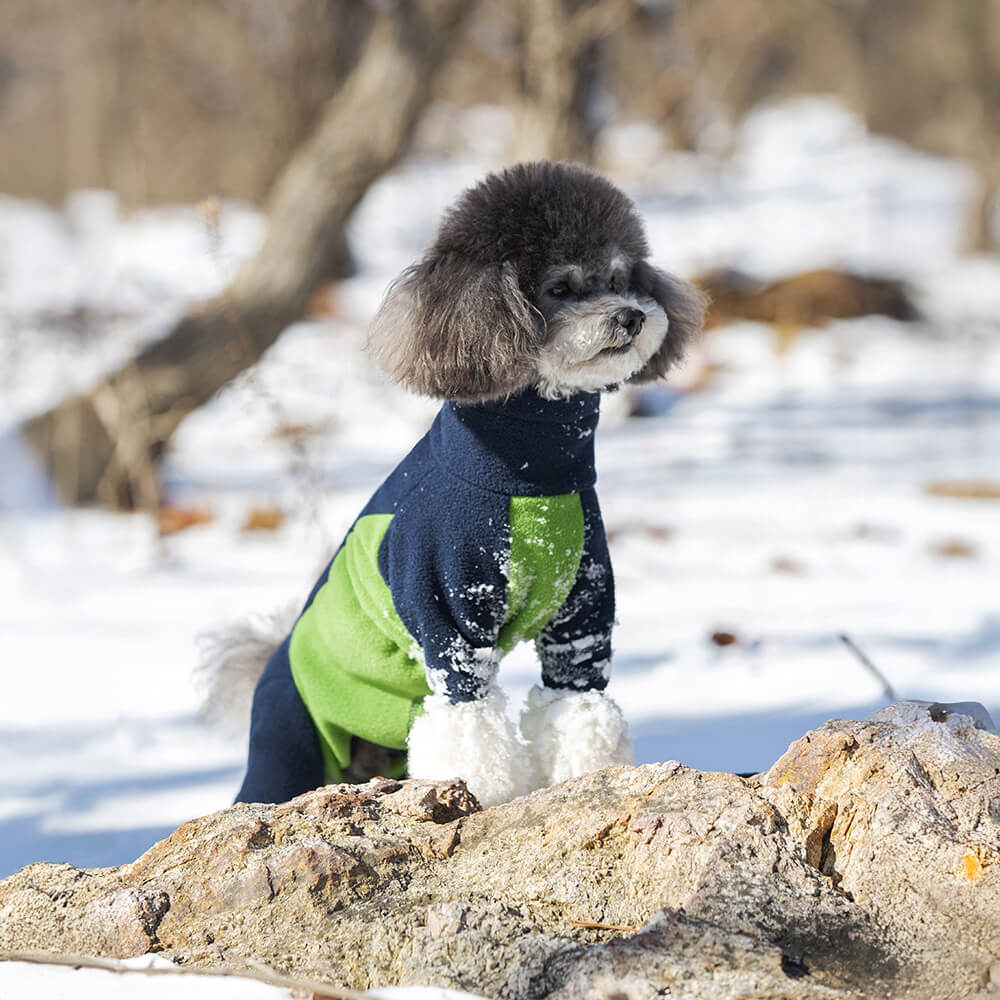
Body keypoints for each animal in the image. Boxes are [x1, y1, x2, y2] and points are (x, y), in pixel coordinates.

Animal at [201, 160, 704, 808]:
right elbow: (469, 725)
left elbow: (578, 707)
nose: (633, 316)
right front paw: (482, 794)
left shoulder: (582, 614)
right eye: (560, 288)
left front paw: (584, 776)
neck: (531, 477)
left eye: (620, 278)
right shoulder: (448, 616)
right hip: (286, 745)